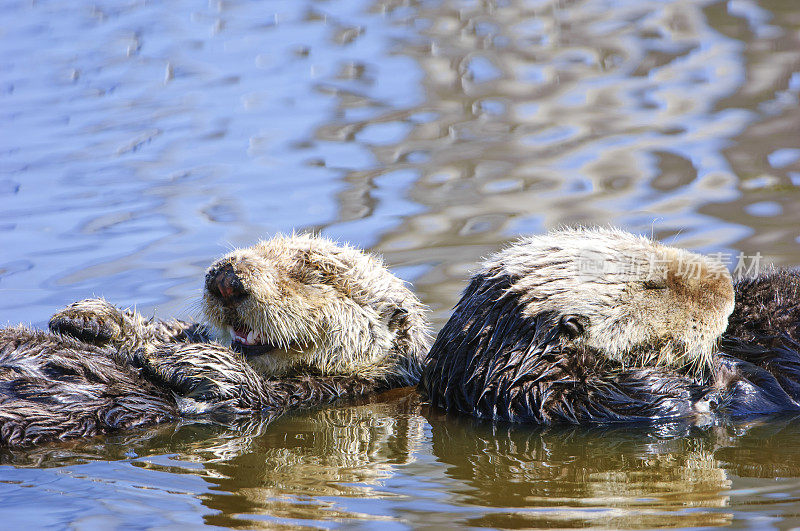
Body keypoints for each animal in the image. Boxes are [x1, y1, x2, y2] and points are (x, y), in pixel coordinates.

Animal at [1, 235, 432, 446]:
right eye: (261, 251)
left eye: (312, 275)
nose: (226, 279)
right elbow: (149, 331)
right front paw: (88, 315)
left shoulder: (298, 395)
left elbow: (239, 382)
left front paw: (167, 356)